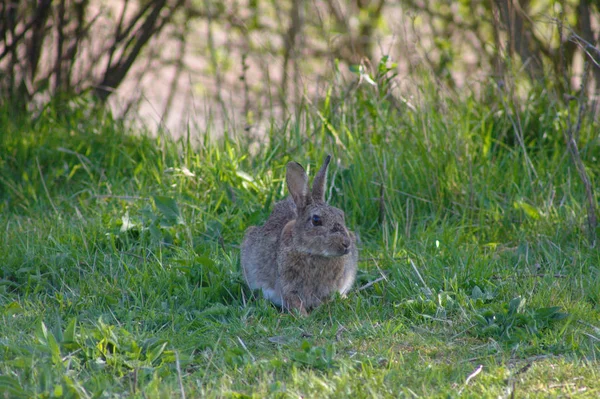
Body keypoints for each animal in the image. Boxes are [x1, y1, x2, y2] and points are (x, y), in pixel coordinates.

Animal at [241, 155, 358, 316]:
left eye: (341, 214)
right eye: (316, 220)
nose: (346, 244)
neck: (311, 252)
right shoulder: (288, 286)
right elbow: (294, 302)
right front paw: (304, 317)